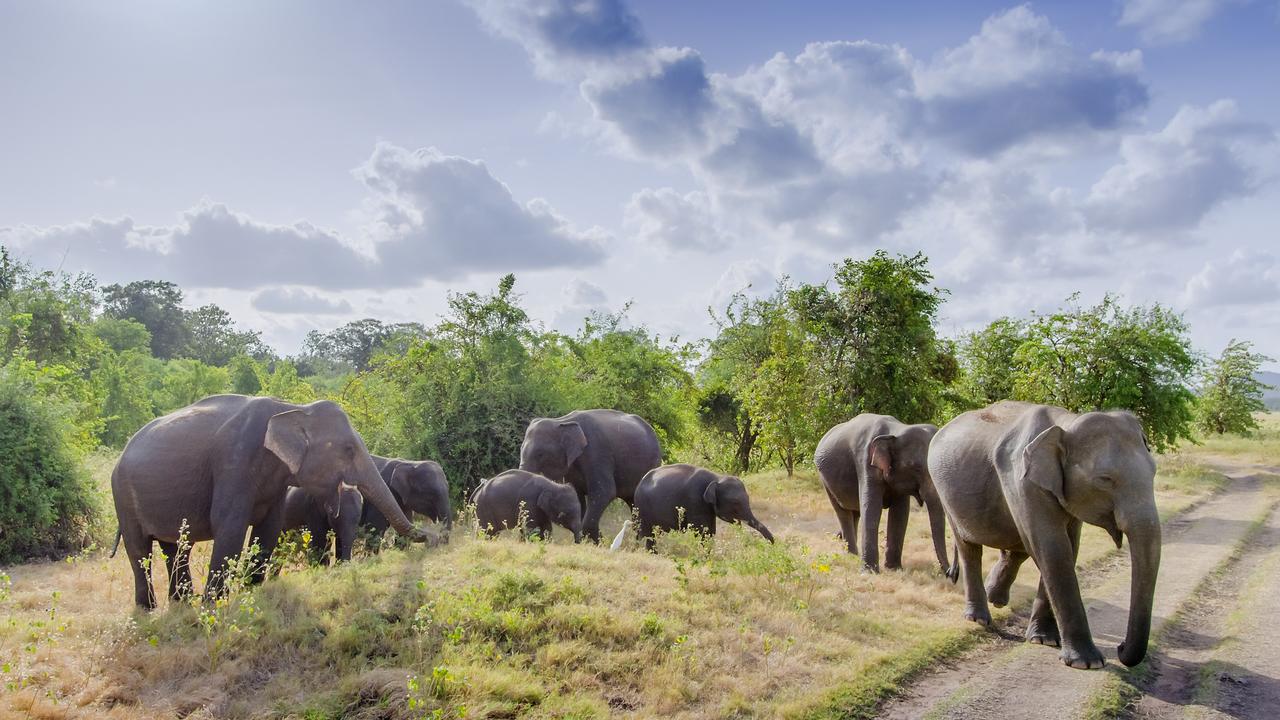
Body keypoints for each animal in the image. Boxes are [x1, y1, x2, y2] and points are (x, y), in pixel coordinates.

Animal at [110, 392, 430, 604]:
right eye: (349, 449)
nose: (432, 537)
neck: (291, 409)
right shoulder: (233, 462)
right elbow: (230, 526)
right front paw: (215, 605)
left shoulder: (276, 481)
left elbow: (269, 529)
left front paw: (252, 592)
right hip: (122, 496)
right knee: (139, 552)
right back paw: (149, 609)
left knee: (176, 548)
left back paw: (181, 604)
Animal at [517, 407, 660, 540]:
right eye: (521, 449)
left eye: (540, 454)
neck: (561, 421)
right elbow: (577, 496)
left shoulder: (597, 451)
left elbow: (604, 492)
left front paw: (599, 542)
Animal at [629, 461, 768, 545]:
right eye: (735, 503)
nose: (771, 544)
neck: (716, 477)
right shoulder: (695, 500)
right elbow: (702, 532)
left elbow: (710, 531)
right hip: (642, 508)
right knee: (647, 535)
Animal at [814, 415, 957, 571]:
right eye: (916, 468)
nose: (949, 572)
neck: (896, 430)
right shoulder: (865, 463)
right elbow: (872, 508)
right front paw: (869, 572)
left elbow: (900, 513)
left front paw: (894, 569)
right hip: (825, 481)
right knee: (843, 512)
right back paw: (851, 555)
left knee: (855, 512)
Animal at [931, 397, 1162, 666]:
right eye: (1105, 480)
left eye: (1154, 472)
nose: (1120, 647)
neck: (1067, 424)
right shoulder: (1022, 480)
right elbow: (1053, 548)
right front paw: (1087, 662)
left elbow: (1067, 547)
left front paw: (1044, 640)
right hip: (944, 491)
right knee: (970, 548)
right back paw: (978, 618)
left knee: (1018, 546)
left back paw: (995, 598)